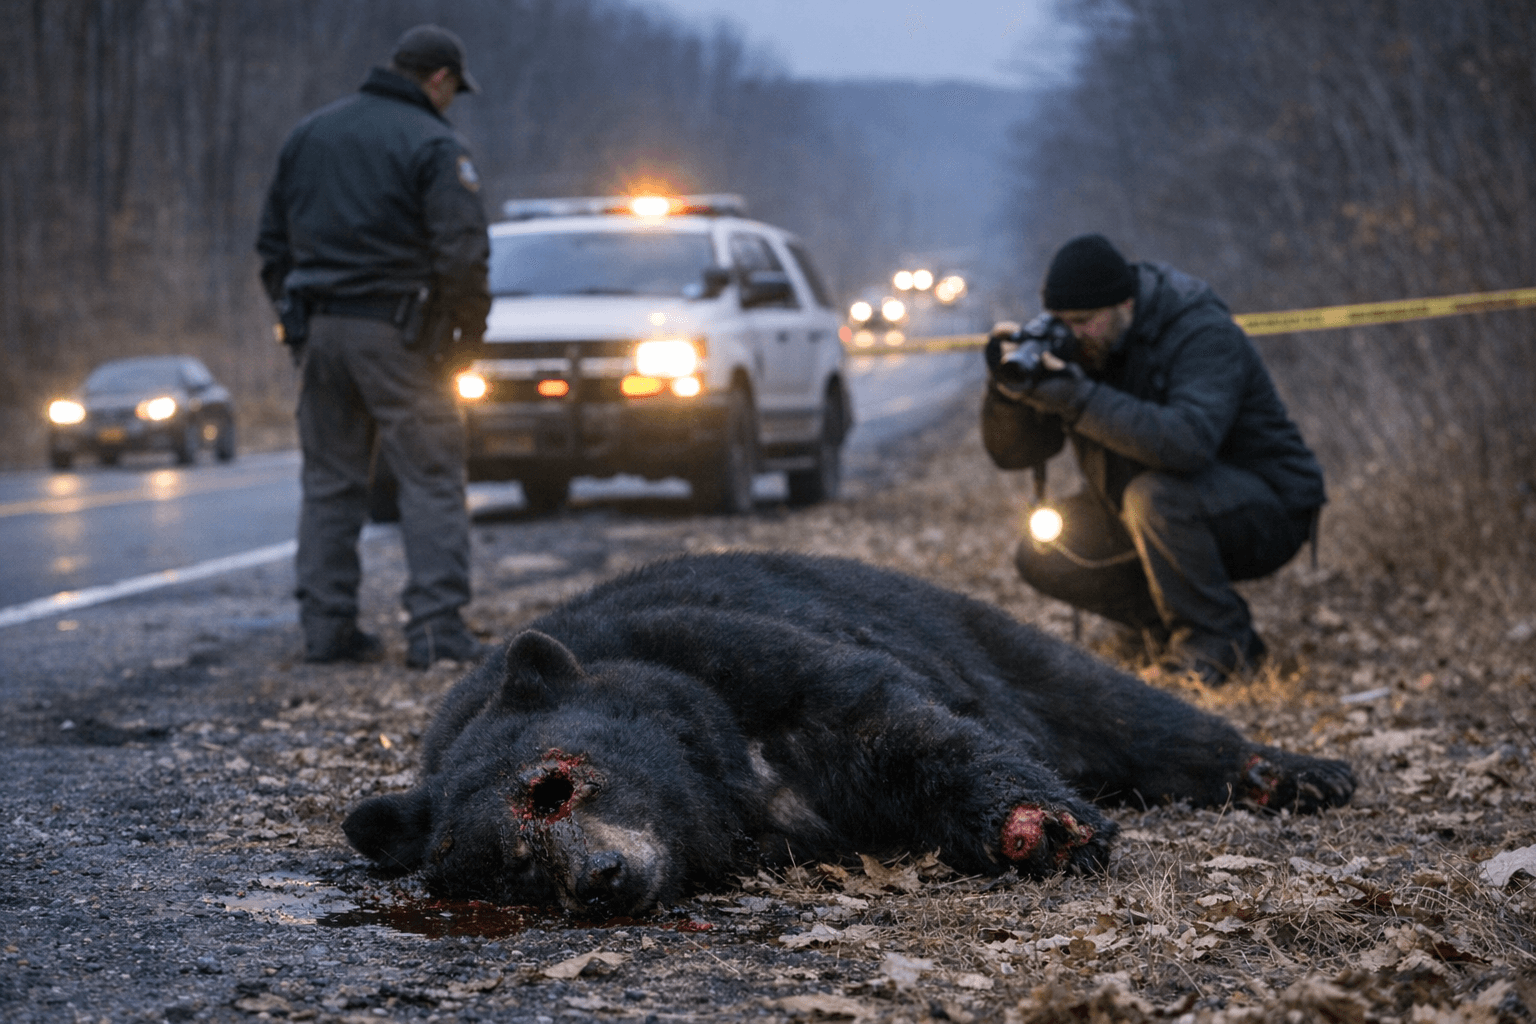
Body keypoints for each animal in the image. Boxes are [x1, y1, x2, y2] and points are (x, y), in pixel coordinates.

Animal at [343, 551, 1354, 917]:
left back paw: (1291, 773)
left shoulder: (739, 656)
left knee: (1115, 706)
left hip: (980, 632)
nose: (598, 879)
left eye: (553, 782)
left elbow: (894, 721)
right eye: (509, 870)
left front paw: (1037, 825)